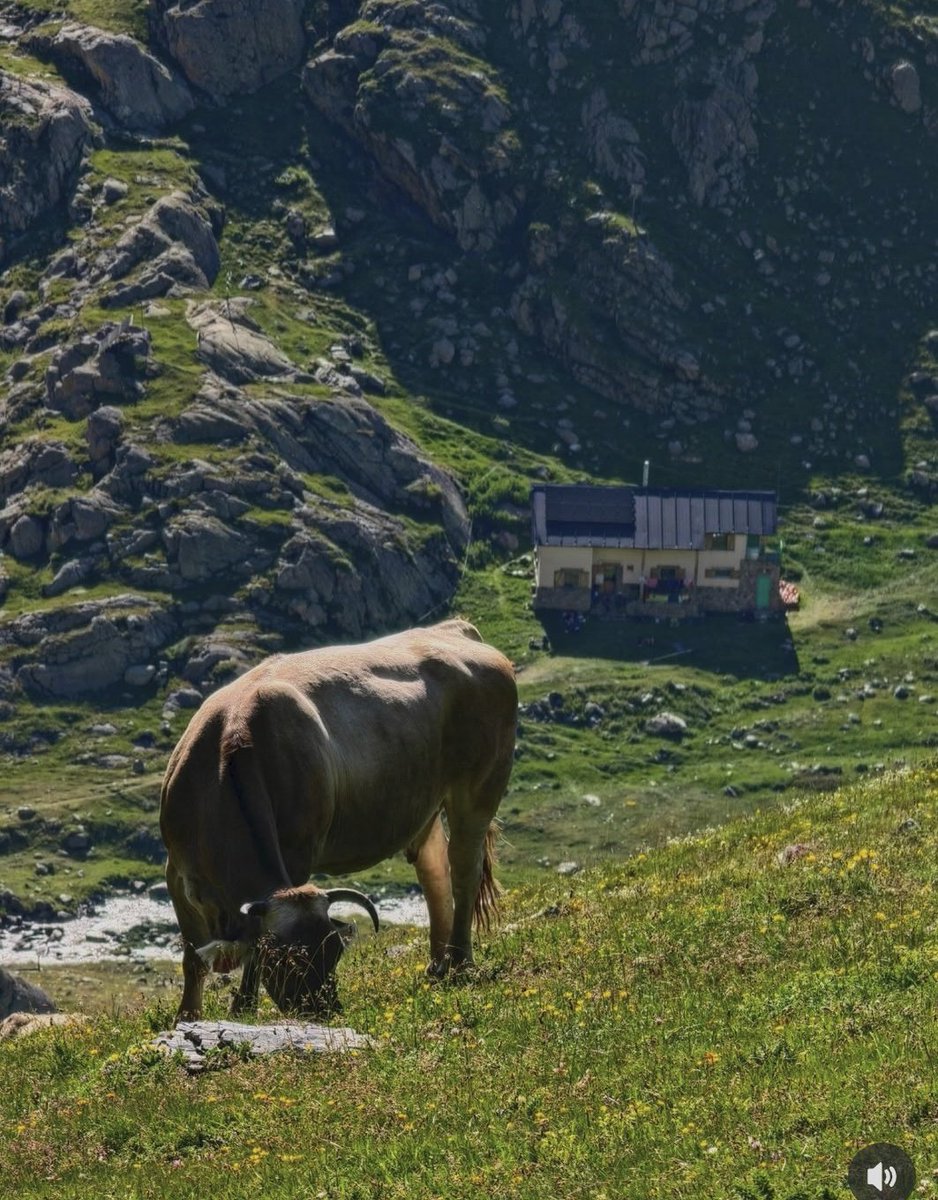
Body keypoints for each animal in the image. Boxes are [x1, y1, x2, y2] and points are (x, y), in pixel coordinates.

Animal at [159, 619, 517, 1020]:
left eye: (334, 951)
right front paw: (187, 1017)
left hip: (479, 789)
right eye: (286, 958)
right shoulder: (177, 873)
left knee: (464, 871)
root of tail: (453, 628)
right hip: (425, 801)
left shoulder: (298, 855)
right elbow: (194, 958)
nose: (323, 1012)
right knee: (434, 870)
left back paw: (459, 962)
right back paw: (437, 965)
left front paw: (242, 1009)